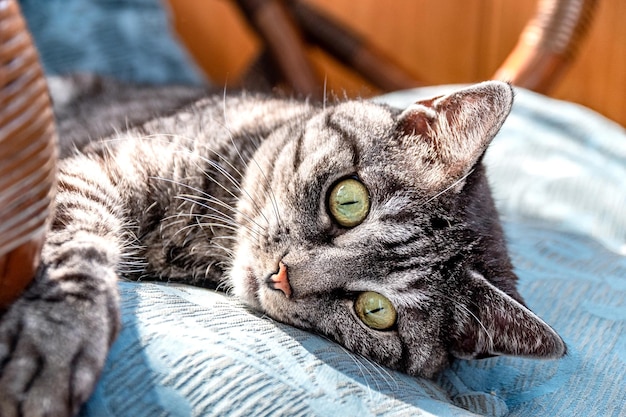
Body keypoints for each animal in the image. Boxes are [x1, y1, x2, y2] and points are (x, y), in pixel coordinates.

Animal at [0, 79, 564, 416]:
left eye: (375, 311)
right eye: (348, 200)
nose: (282, 275)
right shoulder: (94, 168)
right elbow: (79, 247)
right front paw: (56, 345)